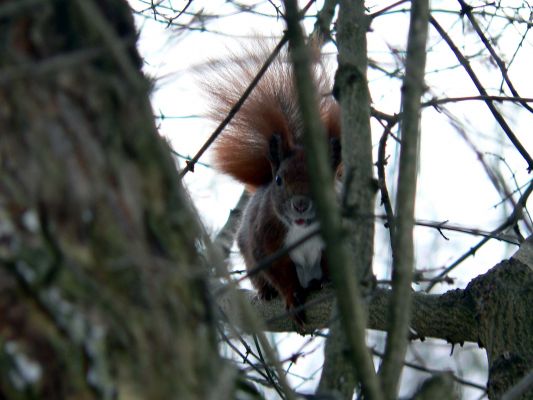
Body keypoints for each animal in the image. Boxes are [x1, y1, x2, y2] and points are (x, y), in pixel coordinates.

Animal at [204, 42, 340, 324]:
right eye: (279, 179)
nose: (300, 204)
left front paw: (328, 282)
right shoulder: (265, 240)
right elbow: (280, 274)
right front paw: (290, 297)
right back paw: (266, 292)